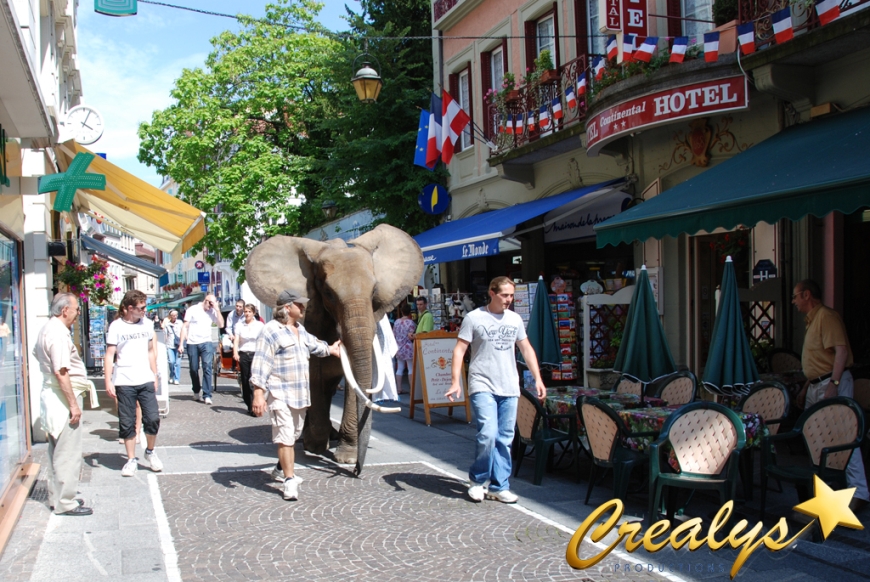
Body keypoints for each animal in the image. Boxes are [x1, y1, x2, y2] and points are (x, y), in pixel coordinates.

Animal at [244, 224, 424, 474]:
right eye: (328, 293)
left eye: (374, 291)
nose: (357, 471)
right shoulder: (313, 312)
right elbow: (314, 373)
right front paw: (317, 447)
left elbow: (353, 380)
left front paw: (346, 457)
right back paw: (311, 439)